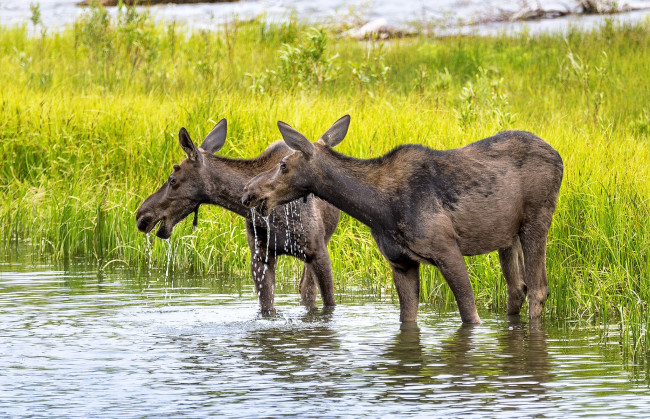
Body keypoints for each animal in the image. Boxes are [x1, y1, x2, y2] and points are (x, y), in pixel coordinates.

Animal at [137, 120, 340, 314]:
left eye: (172, 179)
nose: (141, 214)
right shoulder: (260, 256)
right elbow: (267, 309)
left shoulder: (317, 252)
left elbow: (329, 304)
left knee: (307, 289)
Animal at [243, 115, 560, 324]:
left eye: (283, 165)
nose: (249, 191)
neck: (377, 209)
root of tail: (560, 159)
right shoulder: (400, 262)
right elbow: (407, 319)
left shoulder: (447, 248)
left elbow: (470, 315)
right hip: (507, 236)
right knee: (517, 288)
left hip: (537, 221)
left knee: (538, 289)